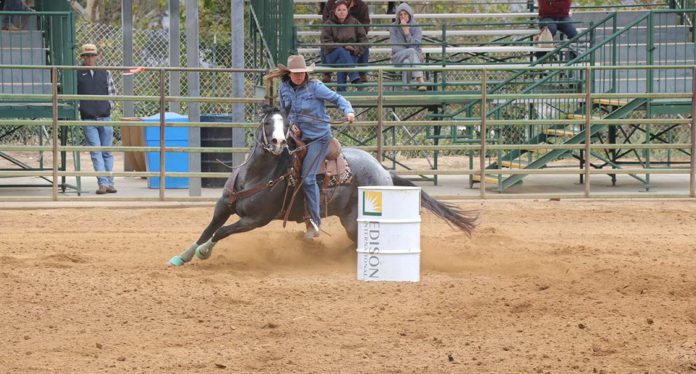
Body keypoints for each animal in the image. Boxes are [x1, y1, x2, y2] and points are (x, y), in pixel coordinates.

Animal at [167, 105, 478, 266]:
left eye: (287, 123)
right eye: (268, 123)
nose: (279, 142)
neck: (256, 175)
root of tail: (384, 171)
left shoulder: (255, 220)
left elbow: (221, 232)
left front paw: (204, 252)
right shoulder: (223, 206)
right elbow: (209, 229)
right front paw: (182, 256)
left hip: (354, 221)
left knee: (357, 242)